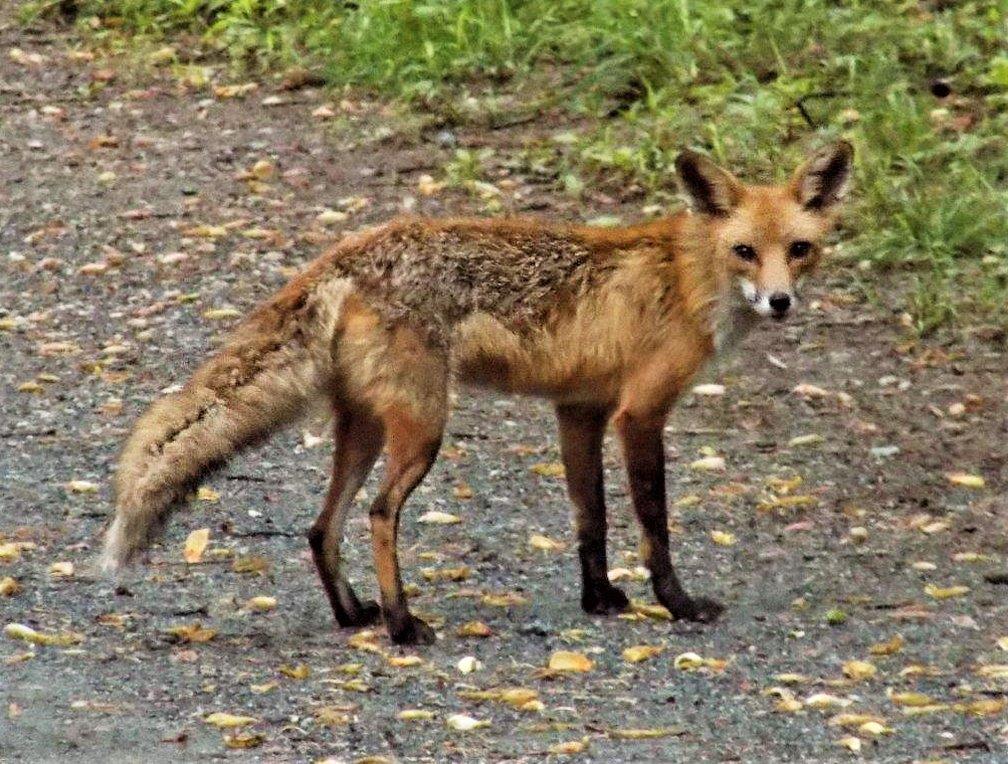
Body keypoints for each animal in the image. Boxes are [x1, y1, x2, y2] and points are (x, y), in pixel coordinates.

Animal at [101, 141, 853, 645]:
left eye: (800, 249)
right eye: (745, 251)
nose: (781, 302)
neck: (686, 275)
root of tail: (354, 248)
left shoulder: (578, 410)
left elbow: (590, 521)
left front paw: (599, 600)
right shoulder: (640, 413)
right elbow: (654, 527)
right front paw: (678, 605)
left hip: (366, 427)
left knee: (322, 526)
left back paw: (352, 615)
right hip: (423, 428)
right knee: (378, 514)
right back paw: (402, 623)